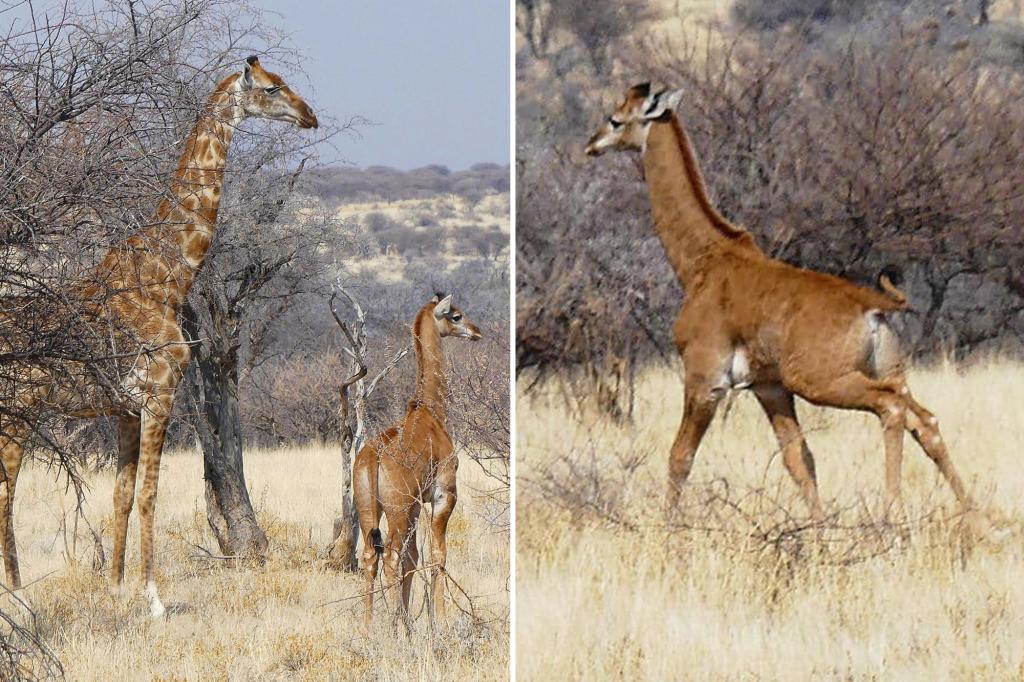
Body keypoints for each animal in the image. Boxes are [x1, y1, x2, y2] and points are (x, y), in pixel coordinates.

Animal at [0, 55, 315, 614]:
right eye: (273, 88)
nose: (310, 116)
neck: (167, 276)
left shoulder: (126, 407)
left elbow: (122, 494)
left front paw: (115, 589)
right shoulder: (160, 393)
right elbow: (150, 493)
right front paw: (154, 599)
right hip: (18, 411)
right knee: (4, 492)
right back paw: (18, 599)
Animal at [354, 290, 481, 626]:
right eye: (455, 315)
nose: (476, 331)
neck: (430, 410)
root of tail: (373, 459)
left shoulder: (414, 506)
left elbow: (414, 559)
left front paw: (411, 619)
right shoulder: (443, 494)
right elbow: (438, 554)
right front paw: (440, 621)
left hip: (371, 509)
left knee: (370, 556)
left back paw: (369, 627)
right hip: (396, 511)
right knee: (390, 556)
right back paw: (392, 625)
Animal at [589, 83, 970, 520]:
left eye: (617, 119)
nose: (592, 144)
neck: (705, 259)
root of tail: (872, 305)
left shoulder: (706, 380)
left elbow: (680, 456)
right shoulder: (768, 387)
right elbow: (800, 460)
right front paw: (819, 529)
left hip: (822, 382)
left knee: (891, 409)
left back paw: (892, 517)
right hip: (889, 374)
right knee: (926, 422)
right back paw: (975, 518)